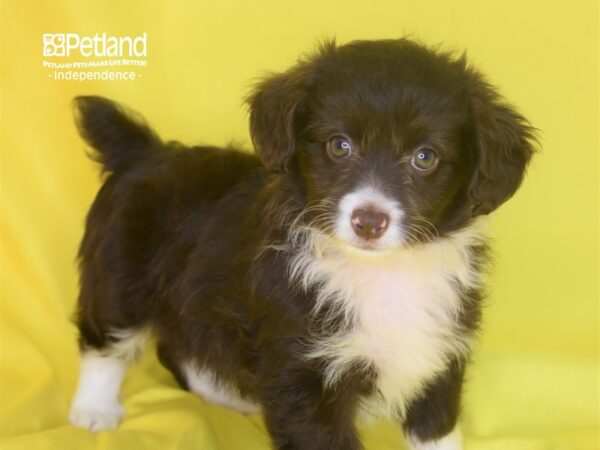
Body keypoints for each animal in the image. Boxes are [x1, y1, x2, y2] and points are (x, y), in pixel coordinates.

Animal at [69, 39, 536, 450]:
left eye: (425, 157)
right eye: (339, 146)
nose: (369, 222)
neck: (384, 273)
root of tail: (145, 151)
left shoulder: (438, 356)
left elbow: (438, 432)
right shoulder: (304, 374)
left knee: (180, 348)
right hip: (120, 277)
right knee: (104, 339)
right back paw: (93, 410)